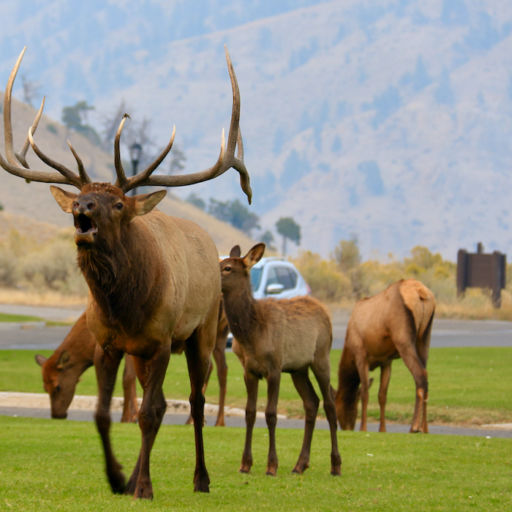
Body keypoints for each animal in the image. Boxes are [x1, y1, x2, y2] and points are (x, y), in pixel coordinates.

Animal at [1, 46, 251, 498]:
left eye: (118, 203)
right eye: (82, 195)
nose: (81, 207)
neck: (125, 307)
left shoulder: (162, 339)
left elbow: (151, 412)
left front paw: (144, 487)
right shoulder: (110, 344)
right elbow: (105, 413)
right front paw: (119, 478)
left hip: (201, 333)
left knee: (196, 398)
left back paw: (200, 478)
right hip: (147, 350)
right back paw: (138, 476)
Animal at [219, 244, 340, 476]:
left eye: (228, 267)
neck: (251, 334)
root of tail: (326, 312)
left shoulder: (274, 367)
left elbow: (271, 413)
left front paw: (271, 465)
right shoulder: (249, 371)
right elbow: (250, 412)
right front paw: (245, 464)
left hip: (321, 357)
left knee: (330, 402)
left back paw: (336, 464)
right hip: (298, 369)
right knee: (312, 402)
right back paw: (300, 464)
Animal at [336, 278, 436, 434]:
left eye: (335, 406)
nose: (347, 428)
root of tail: (421, 293)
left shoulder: (361, 355)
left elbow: (365, 392)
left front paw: (363, 428)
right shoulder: (386, 362)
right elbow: (382, 395)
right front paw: (382, 429)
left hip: (404, 339)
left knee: (420, 375)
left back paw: (414, 427)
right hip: (425, 338)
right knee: (425, 376)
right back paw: (425, 428)